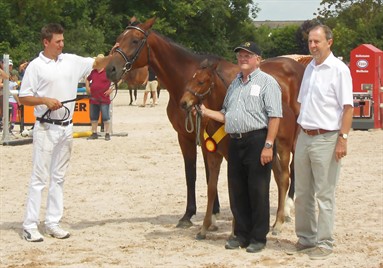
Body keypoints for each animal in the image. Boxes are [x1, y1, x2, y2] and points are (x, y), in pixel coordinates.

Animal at [106, 17, 304, 238]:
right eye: (119, 37)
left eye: (134, 40)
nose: (110, 69)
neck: (183, 81)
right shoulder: (185, 136)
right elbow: (192, 174)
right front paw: (190, 216)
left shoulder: (203, 136)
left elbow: (210, 176)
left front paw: (212, 217)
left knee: (291, 168)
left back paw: (286, 210)